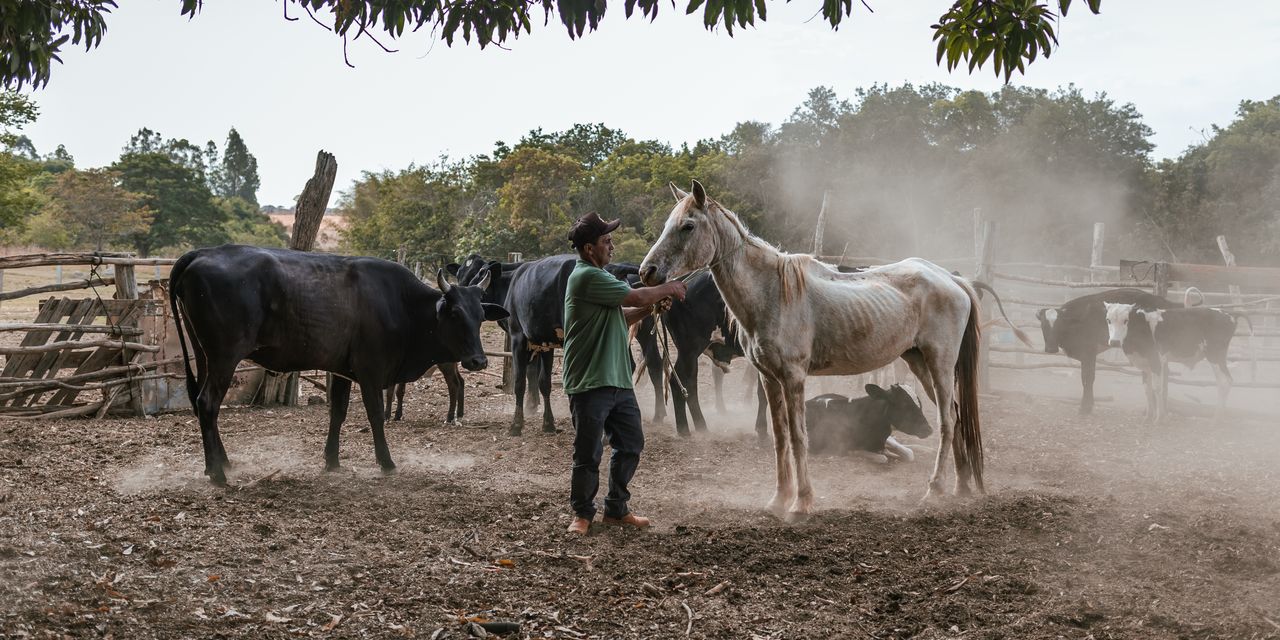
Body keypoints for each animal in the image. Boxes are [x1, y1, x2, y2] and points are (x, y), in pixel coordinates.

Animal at [798, 381, 931, 463]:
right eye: (904, 405)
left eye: (920, 404)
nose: (929, 429)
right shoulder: (839, 448)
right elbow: (881, 458)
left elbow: (909, 453)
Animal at [1029, 288, 1177, 412]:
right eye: (1043, 325)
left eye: (1059, 325)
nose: (1051, 348)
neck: (1077, 321)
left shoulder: (1089, 353)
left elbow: (1087, 378)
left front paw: (1085, 407)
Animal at [1100, 302, 1239, 422]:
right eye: (1108, 320)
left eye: (1125, 320)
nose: (1114, 342)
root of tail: (1227, 313)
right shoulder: (1145, 364)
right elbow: (1147, 389)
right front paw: (1148, 417)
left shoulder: (1156, 360)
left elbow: (1157, 388)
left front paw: (1159, 418)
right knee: (1227, 380)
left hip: (1215, 355)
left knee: (1224, 382)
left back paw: (1217, 418)